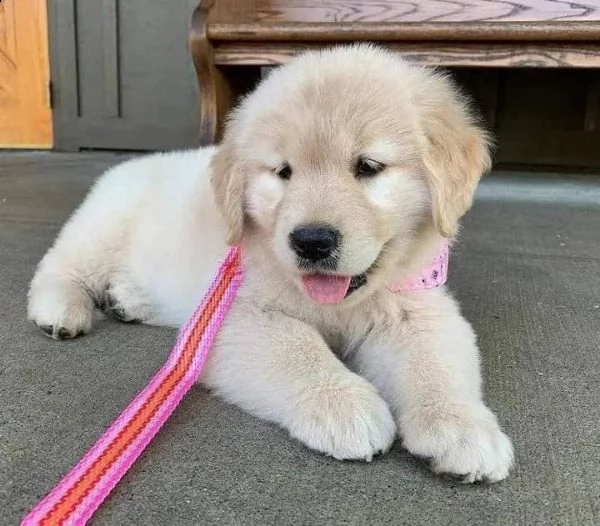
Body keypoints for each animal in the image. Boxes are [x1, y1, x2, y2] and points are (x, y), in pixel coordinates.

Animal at [29, 44, 516, 482]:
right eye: (283, 172)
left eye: (368, 166)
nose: (312, 241)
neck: (337, 305)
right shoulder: (230, 316)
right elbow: (297, 347)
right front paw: (345, 404)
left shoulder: (416, 305)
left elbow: (435, 361)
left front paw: (461, 427)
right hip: (101, 227)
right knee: (59, 267)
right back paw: (61, 310)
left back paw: (127, 301)